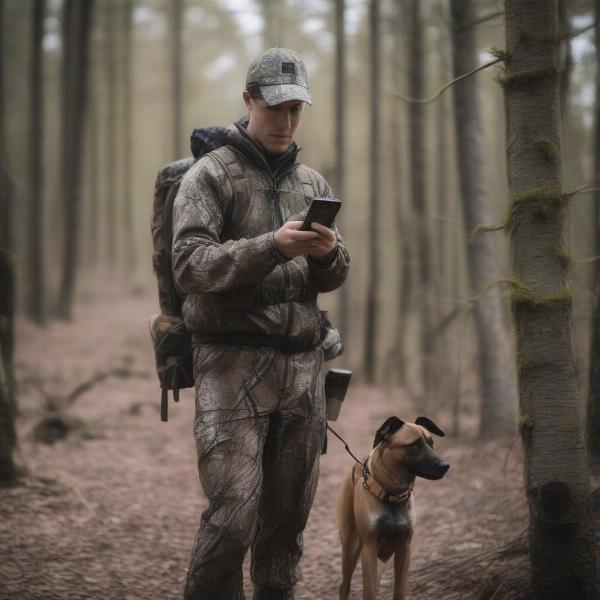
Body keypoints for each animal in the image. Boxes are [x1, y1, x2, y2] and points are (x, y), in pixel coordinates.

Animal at [336, 418, 448, 600]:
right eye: (414, 445)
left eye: (432, 444)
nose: (446, 465)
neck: (392, 495)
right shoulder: (369, 548)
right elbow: (369, 592)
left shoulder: (404, 548)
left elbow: (399, 590)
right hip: (351, 547)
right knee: (344, 585)